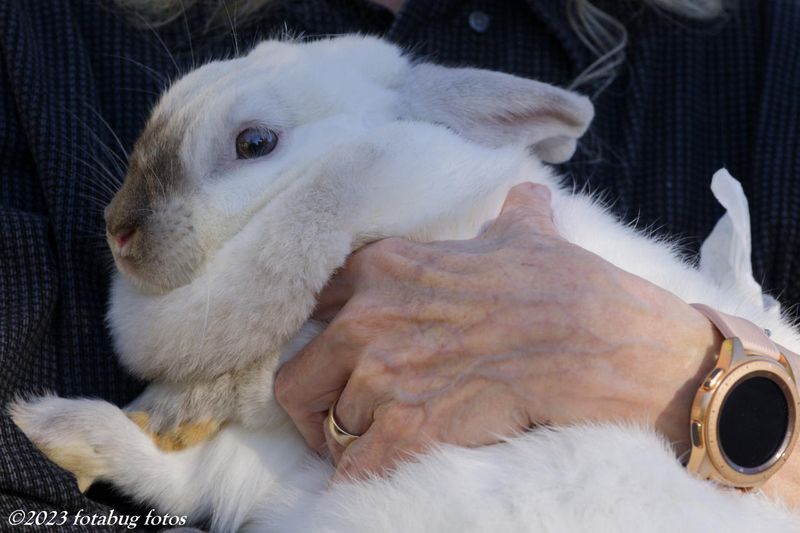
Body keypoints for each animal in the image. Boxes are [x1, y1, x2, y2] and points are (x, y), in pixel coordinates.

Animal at [10, 35, 800, 528]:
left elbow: (248, 383)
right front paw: (134, 416)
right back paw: (50, 423)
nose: (118, 228)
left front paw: (172, 406)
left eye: (255, 143)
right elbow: (184, 471)